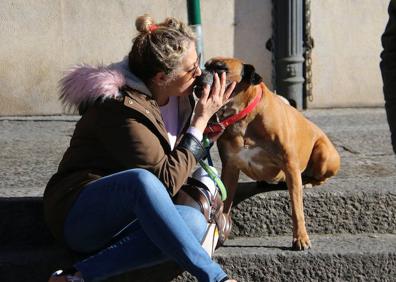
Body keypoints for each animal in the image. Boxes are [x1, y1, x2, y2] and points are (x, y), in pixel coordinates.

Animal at [201, 56, 340, 249]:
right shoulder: (230, 167)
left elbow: (297, 208)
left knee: (320, 177)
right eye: (206, 66)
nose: (200, 74)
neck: (244, 117)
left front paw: (300, 237)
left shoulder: (290, 165)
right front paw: (221, 226)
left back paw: (309, 182)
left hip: (324, 154)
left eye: (221, 69)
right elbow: (225, 201)